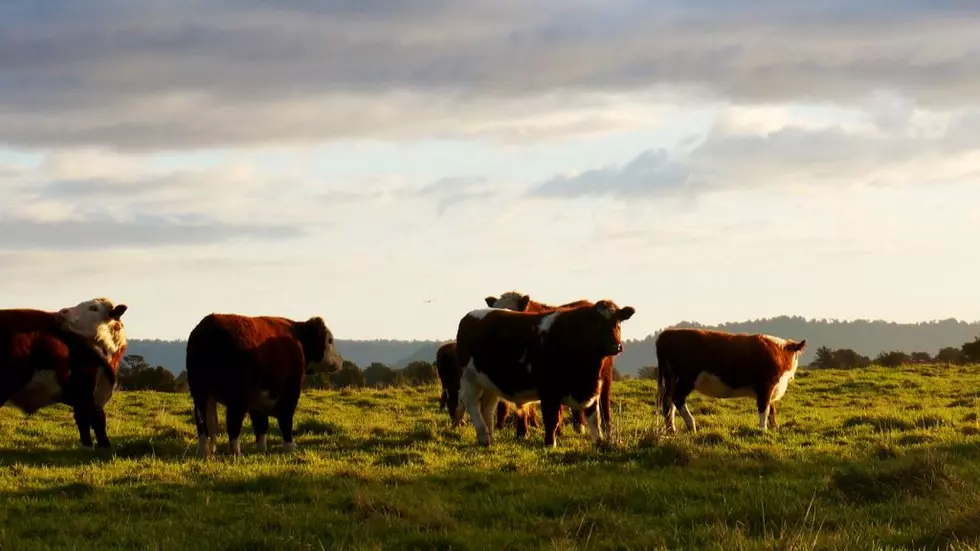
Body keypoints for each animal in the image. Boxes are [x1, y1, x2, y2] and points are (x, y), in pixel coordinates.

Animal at [0, 298, 128, 448]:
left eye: (94, 308)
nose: (62, 311)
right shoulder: (89, 391)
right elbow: (95, 421)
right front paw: (102, 445)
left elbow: (86, 422)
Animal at [185, 312, 344, 460]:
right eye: (330, 340)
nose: (340, 361)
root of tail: (209, 326)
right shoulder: (290, 391)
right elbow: (285, 420)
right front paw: (290, 447)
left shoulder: (257, 400)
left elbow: (261, 423)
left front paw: (261, 448)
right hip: (237, 396)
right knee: (233, 422)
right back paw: (236, 453)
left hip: (200, 394)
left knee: (203, 423)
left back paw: (205, 452)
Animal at [454, 298, 632, 448]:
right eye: (597, 323)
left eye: (618, 321)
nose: (616, 346)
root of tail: (470, 315)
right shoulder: (549, 390)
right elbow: (552, 419)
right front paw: (550, 443)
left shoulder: (593, 387)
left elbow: (595, 418)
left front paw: (600, 441)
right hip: (469, 378)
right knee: (472, 405)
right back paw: (484, 436)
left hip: (489, 382)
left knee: (487, 408)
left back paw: (489, 437)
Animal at [656, 328, 808, 436]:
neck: (779, 352)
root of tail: (667, 334)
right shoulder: (766, 385)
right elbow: (764, 408)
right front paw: (762, 430)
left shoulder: (771, 389)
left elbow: (772, 410)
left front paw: (775, 428)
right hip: (687, 378)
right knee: (677, 398)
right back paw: (691, 425)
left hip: (672, 378)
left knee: (668, 402)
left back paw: (671, 429)